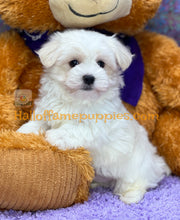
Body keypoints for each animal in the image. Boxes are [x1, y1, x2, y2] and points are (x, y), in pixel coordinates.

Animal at [17, 29, 171, 205]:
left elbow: (75, 129)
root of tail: (155, 163)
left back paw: (130, 196)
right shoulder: (47, 110)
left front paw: (54, 136)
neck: (77, 100)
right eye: (73, 62)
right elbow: (37, 122)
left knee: (137, 183)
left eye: (101, 64)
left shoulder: (97, 125)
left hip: (136, 168)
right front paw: (24, 131)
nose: (89, 77)